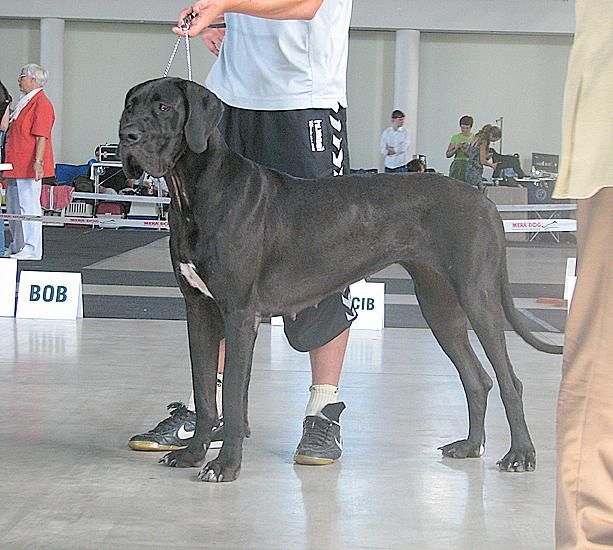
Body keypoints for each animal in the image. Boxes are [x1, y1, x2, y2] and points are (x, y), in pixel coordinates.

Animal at [119, 77, 562, 482]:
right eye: (129, 106)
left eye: (163, 107)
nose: (127, 136)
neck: (194, 191)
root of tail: (484, 200)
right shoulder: (199, 310)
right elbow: (206, 390)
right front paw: (193, 454)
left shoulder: (239, 314)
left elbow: (230, 396)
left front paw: (225, 465)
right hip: (440, 307)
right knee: (477, 379)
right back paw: (470, 446)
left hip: (477, 296)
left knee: (509, 380)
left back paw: (521, 454)